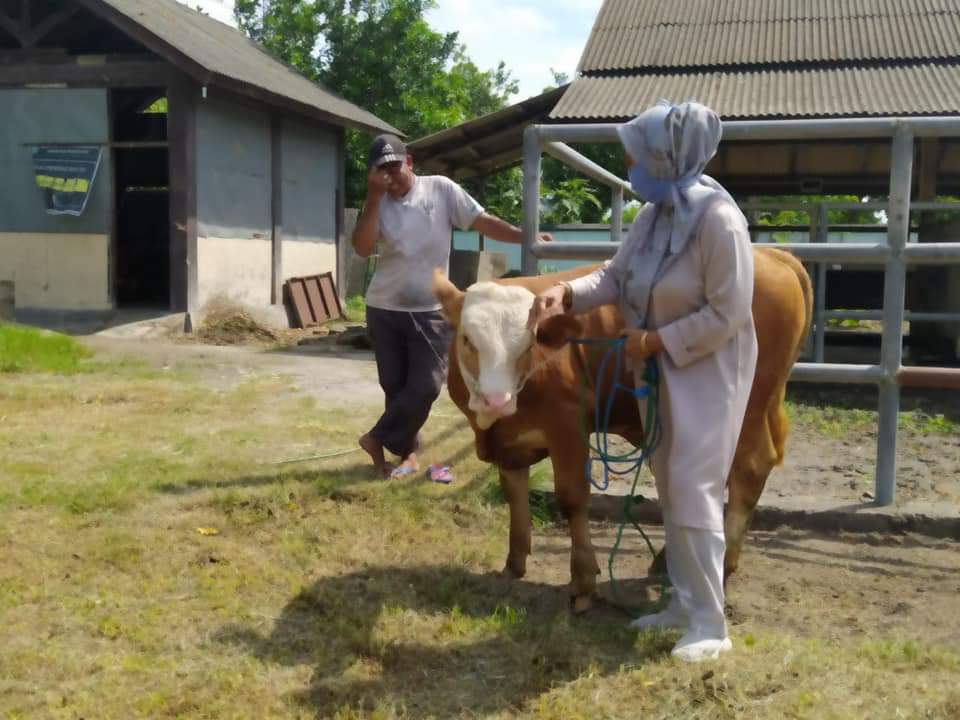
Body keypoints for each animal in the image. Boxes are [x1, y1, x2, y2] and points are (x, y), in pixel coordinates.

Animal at [432, 247, 813, 612]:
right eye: (467, 339)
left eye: (528, 344)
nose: (496, 399)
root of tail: (773, 254)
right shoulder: (509, 442)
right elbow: (515, 495)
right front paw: (513, 565)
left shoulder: (568, 427)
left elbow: (572, 498)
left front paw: (583, 583)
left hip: (747, 409)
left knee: (749, 468)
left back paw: (721, 565)